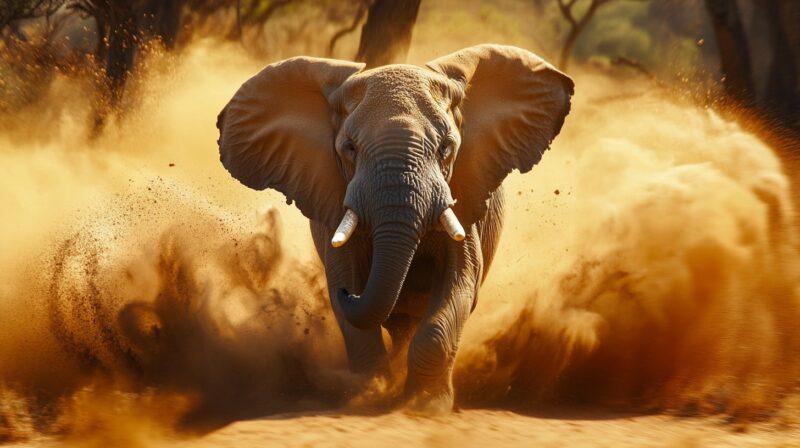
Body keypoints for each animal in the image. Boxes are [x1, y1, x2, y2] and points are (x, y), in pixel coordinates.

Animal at [216, 44, 574, 414]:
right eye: (349, 148)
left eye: (447, 148)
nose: (349, 294)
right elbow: (349, 297)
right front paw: (368, 396)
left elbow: (459, 283)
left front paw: (425, 406)